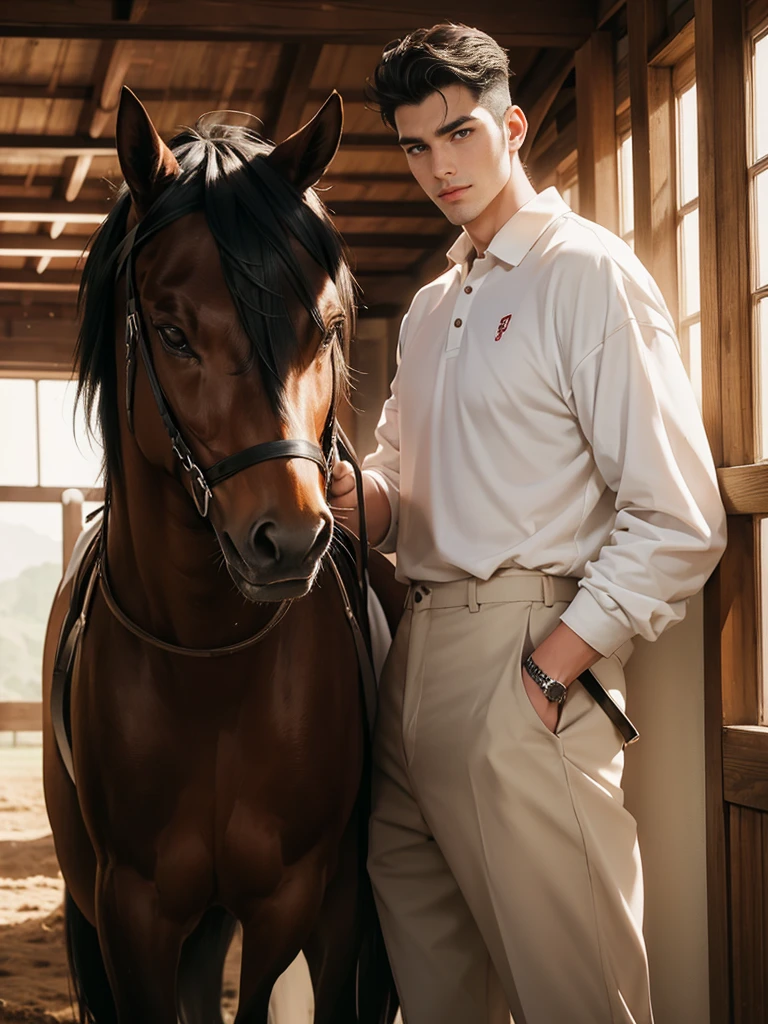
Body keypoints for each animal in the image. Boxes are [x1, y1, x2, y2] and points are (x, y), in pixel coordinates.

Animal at [40, 86, 403, 1024]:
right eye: (171, 333)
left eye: (327, 326)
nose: (289, 540)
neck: (207, 666)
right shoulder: (133, 915)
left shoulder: (309, 905)